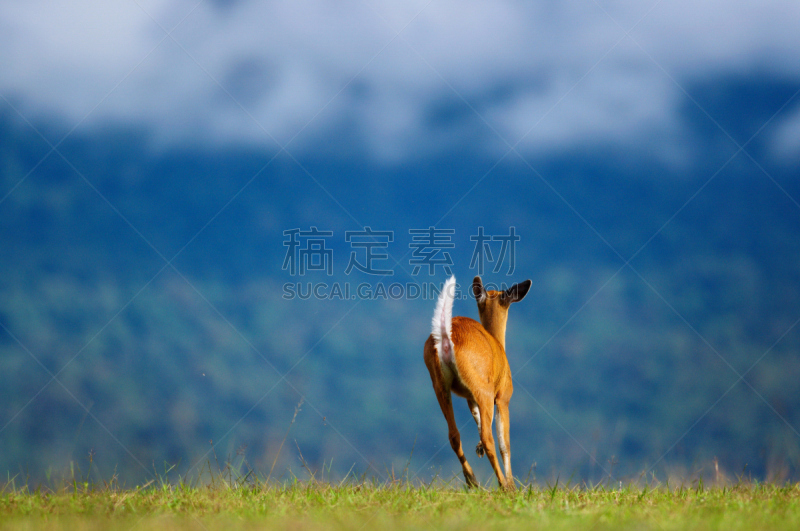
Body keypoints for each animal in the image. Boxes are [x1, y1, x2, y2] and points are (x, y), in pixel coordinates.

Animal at [424, 276, 532, 492]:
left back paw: (472, 480)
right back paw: (503, 485)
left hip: (440, 385)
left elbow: (479, 420)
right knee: (488, 438)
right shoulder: (503, 396)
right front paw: (512, 485)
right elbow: (505, 443)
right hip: (483, 388)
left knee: (454, 435)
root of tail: (445, 338)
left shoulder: (469, 398)